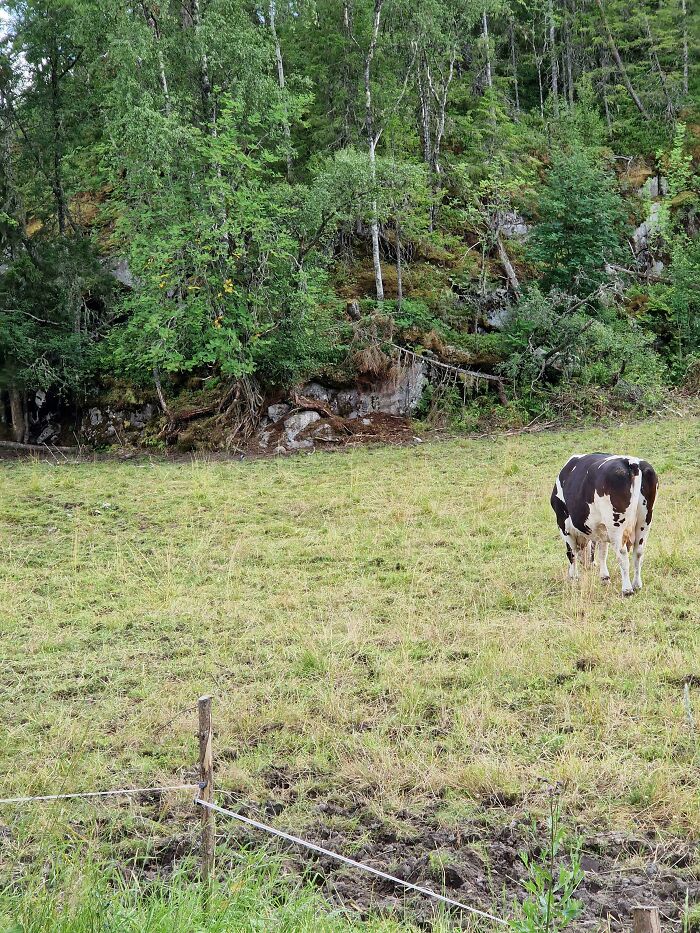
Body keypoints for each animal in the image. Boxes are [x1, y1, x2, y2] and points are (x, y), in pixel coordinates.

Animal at [551, 454, 658, 596]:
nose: (589, 565)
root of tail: (632, 462)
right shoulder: (601, 528)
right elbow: (602, 552)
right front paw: (604, 578)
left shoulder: (563, 524)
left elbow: (571, 552)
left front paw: (573, 577)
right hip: (645, 521)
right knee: (638, 553)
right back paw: (636, 585)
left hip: (616, 525)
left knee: (622, 554)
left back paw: (627, 589)